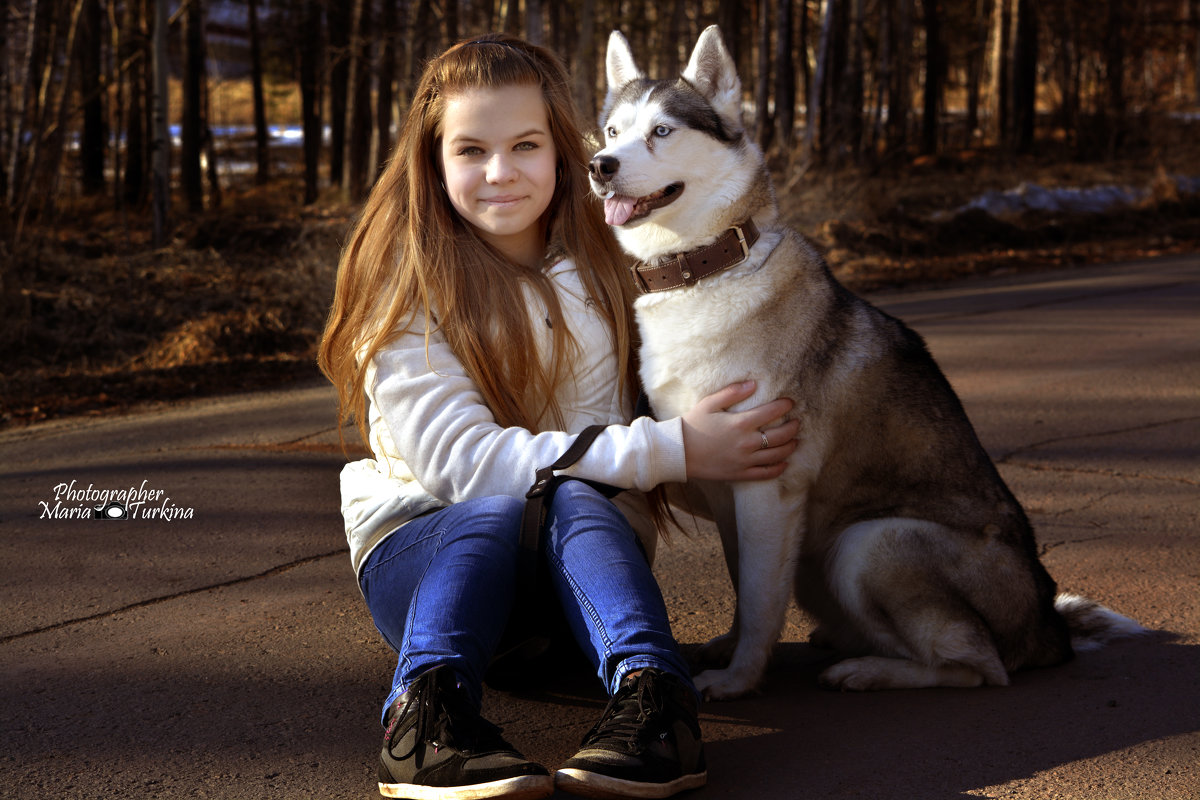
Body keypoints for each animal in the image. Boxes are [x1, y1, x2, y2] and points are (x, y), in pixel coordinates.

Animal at [590, 26, 1142, 700]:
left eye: (662, 131)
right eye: (612, 131)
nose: (600, 166)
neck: (704, 272)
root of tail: (1046, 626)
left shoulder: (769, 489)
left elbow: (760, 596)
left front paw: (740, 677)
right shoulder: (730, 494)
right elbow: (747, 587)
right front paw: (732, 650)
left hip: (868, 542)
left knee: (977, 666)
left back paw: (869, 669)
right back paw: (845, 640)